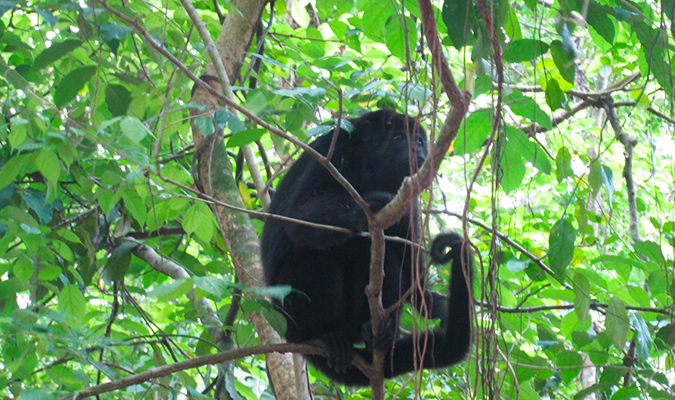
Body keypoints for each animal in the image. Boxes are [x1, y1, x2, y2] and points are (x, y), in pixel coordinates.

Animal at [262, 108, 472, 384]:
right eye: (398, 137)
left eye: (418, 140)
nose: (417, 151)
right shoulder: (335, 150)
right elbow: (299, 215)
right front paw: (366, 210)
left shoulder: (409, 193)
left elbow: (407, 251)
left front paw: (427, 300)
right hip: (290, 315)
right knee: (309, 255)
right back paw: (324, 336)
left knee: (383, 258)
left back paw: (379, 331)